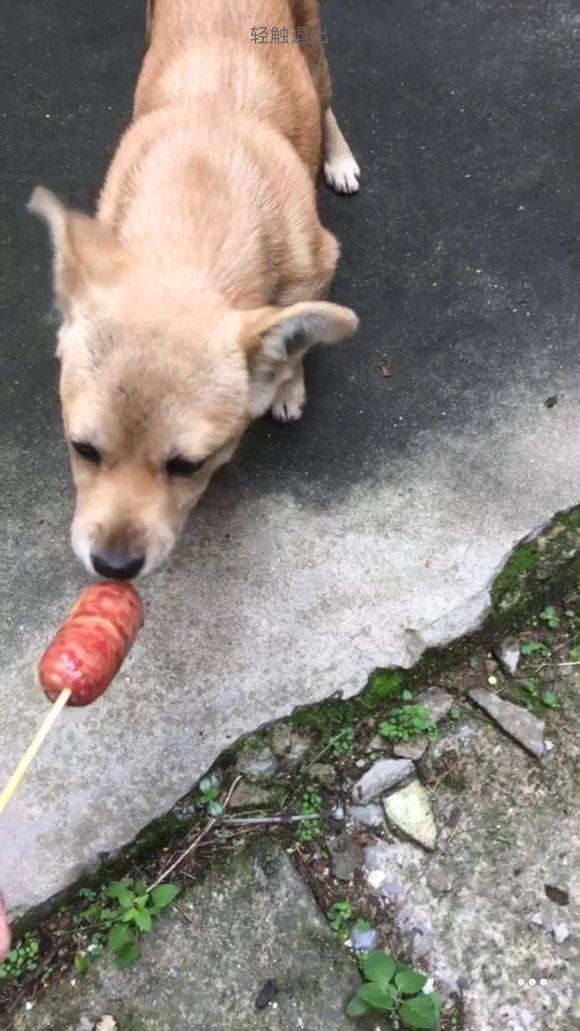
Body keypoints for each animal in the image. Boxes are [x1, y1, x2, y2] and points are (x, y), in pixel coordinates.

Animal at [31, 0, 360, 581]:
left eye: (190, 465)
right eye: (82, 449)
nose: (114, 565)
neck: (198, 204)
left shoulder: (319, 266)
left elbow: (297, 337)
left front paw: (287, 385)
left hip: (310, 42)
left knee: (323, 101)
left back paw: (338, 158)